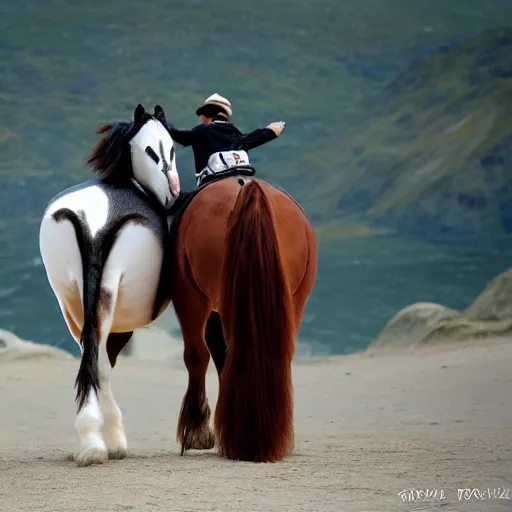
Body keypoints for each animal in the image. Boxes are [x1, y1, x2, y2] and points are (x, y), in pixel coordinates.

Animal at [38, 104, 179, 468]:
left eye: (172, 148)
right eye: (151, 150)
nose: (173, 192)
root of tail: (92, 221)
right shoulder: (121, 326)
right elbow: (103, 365)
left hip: (71, 298)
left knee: (89, 358)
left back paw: (90, 441)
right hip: (107, 294)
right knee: (98, 364)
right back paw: (104, 443)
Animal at [170, 176, 318, 464]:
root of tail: (248, 189)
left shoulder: (190, 297)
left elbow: (198, 356)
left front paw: (197, 431)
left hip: (204, 299)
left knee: (209, 354)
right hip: (295, 300)